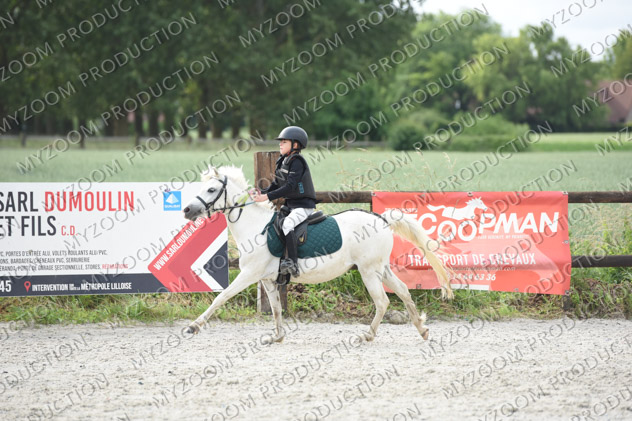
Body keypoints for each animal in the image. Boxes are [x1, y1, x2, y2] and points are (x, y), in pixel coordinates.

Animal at [182, 165, 453, 343]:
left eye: (211, 189)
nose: (187, 210)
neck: (254, 226)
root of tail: (381, 218)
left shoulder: (249, 274)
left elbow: (221, 297)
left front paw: (193, 326)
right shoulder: (267, 280)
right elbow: (276, 308)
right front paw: (277, 337)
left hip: (368, 271)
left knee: (383, 301)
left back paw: (367, 335)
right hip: (381, 269)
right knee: (404, 291)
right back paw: (422, 329)